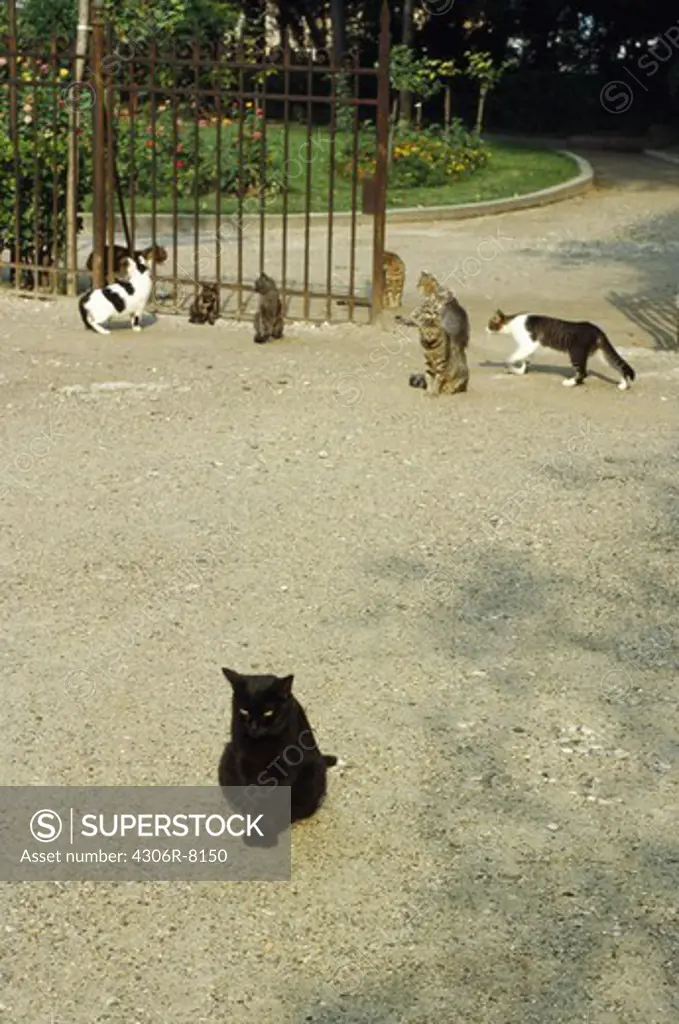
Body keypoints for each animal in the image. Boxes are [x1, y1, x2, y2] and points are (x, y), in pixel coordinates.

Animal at [489, 305, 639, 389]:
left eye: (490, 324)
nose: (485, 329)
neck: (512, 323)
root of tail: (597, 330)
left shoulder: (528, 343)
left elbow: (511, 358)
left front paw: (512, 367)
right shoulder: (529, 347)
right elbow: (525, 360)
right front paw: (520, 371)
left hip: (576, 352)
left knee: (583, 372)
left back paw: (571, 383)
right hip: (602, 355)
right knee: (617, 365)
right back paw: (623, 384)